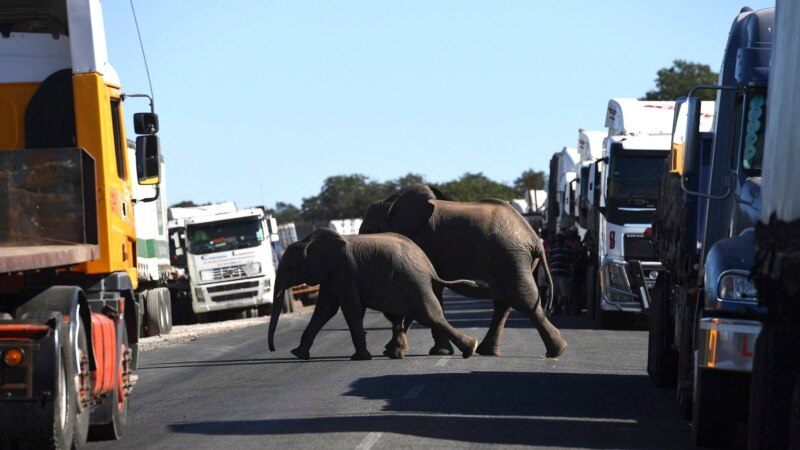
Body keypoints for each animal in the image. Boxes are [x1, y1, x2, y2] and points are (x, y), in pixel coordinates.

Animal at [268, 227, 482, 360]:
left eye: (289, 268)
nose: (272, 349)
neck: (309, 242)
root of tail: (429, 266)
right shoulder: (332, 274)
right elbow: (325, 309)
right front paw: (298, 354)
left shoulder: (344, 270)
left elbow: (350, 308)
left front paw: (360, 358)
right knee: (406, 316)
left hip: (413, 281)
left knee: (429, 315)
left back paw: (471, 348)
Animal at [360, 183, 564, 358]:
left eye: (369, 230)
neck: (391, 203)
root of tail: (534, 238)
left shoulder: (424, 243)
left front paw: (401, 351)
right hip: (513, 260)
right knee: (505, 303)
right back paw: (489, 351)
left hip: (511, 257)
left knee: (523, 300)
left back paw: (557, 350)